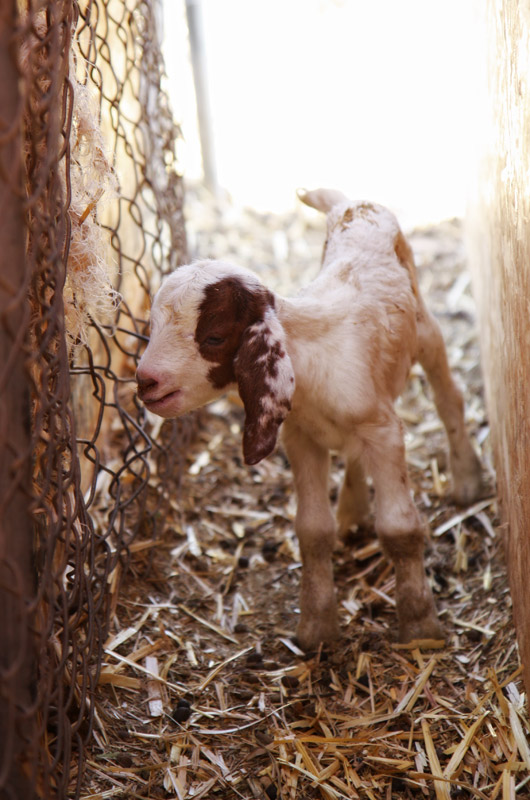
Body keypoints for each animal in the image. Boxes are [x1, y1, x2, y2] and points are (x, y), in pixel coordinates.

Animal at [136, 189, 482, 648]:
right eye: (152, 324)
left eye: (213, 337)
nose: (145, 382)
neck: (311, 360)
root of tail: (352, 203)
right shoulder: (301, 437)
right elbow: (312, 531)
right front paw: (317, 628)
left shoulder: (385, 433)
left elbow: (400, 529)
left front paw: (419, 625)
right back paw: (352, 510)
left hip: (425, 329)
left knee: (449, 399)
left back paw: (466, 480)